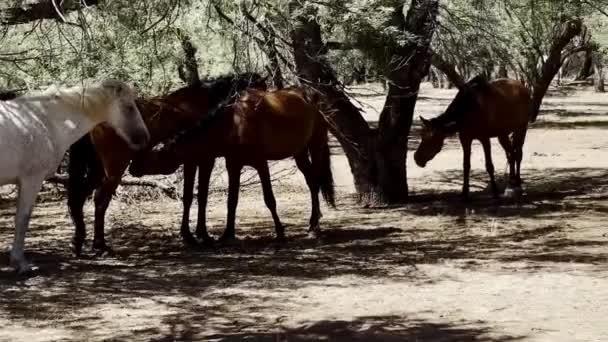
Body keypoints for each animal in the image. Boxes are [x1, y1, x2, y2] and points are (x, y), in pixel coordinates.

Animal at [0, 79, 150, 274]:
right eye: (129, 107)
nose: (145, 138)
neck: (45, 121)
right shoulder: (31, 180)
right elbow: (22, 219)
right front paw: (20, 263)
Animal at [66, 73, 266, 256]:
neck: (204, 105)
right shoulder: (204, 160)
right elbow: (200, 196)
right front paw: (201, 235)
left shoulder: (192, 162)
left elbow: (189, 196)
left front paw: (189, 235)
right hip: (114, 170)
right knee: (100, 200)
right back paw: (100, 245)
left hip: (97, 170)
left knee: (79, 197)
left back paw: (79, 242)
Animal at [129, 87, 338, 244]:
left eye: (153, 156)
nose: (132, 168)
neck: (234, 125)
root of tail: (313, 96)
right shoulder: (233, 164)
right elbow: (231, 200)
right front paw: (227, 234)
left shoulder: (260, 163)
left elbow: (269, 199)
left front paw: (279, 232)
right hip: (299, 152)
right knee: (312, 182)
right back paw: (312, 223)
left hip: (316, 146)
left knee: (316, 180)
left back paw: (315, 227)